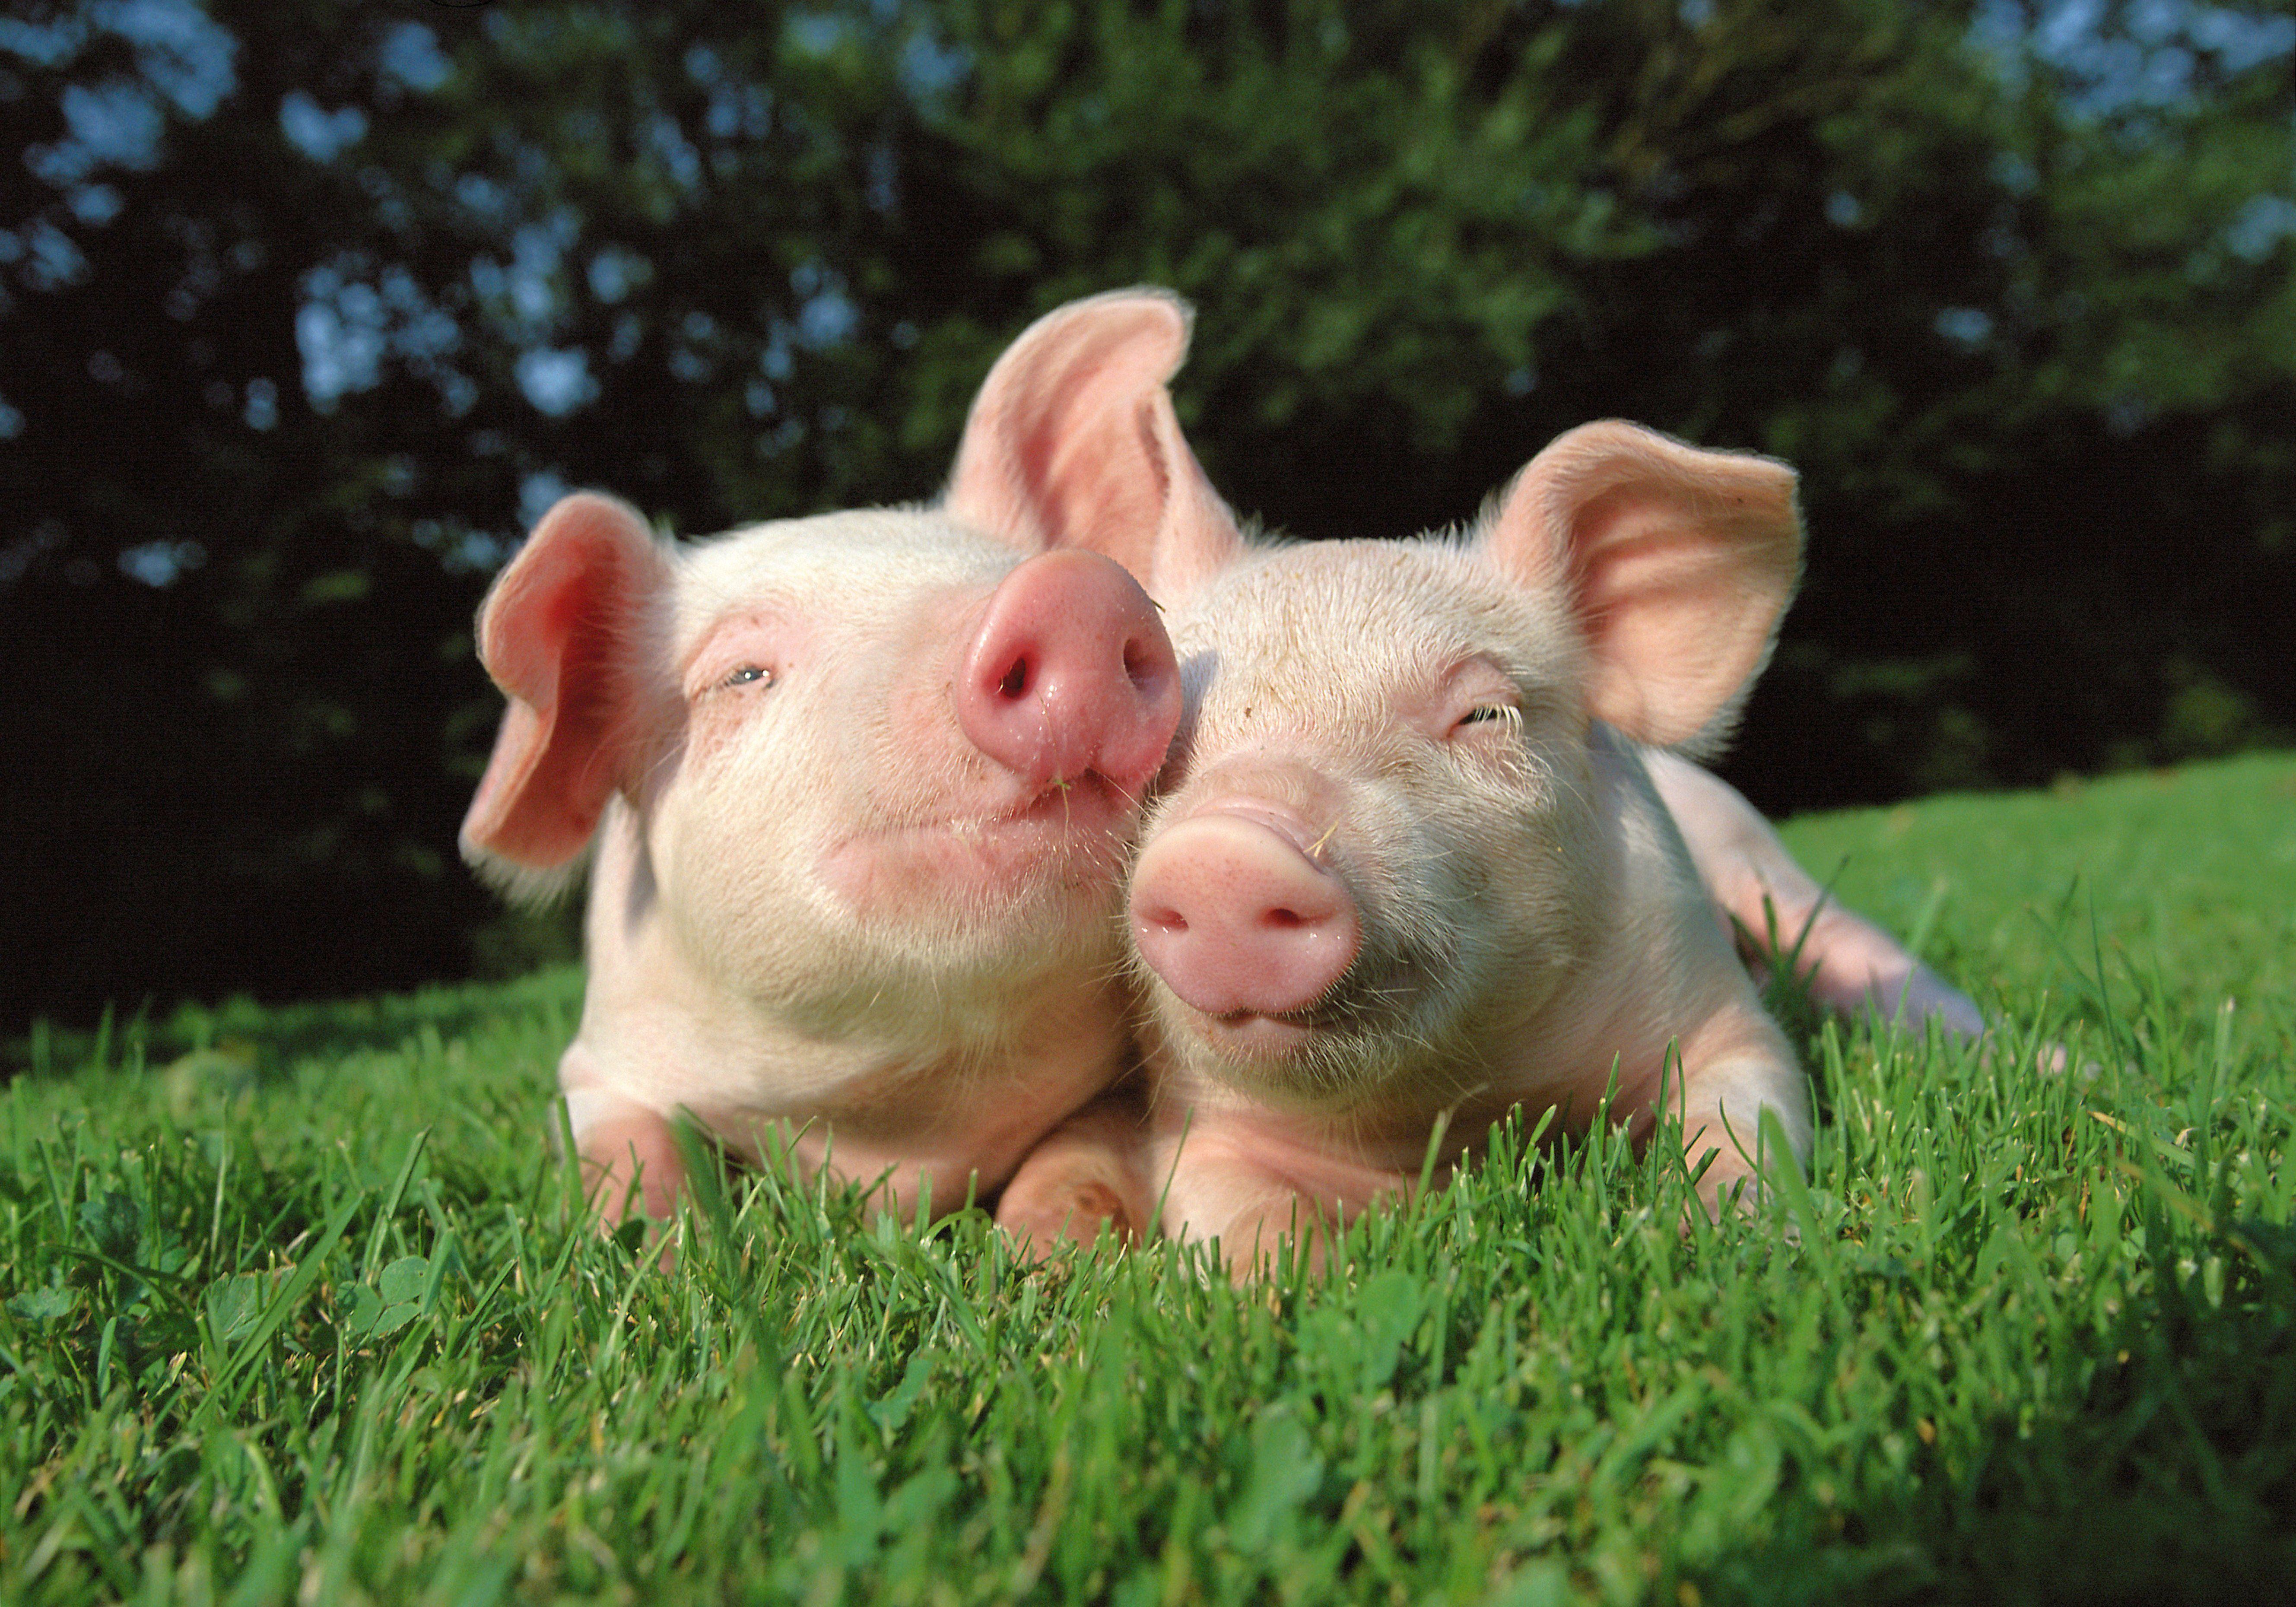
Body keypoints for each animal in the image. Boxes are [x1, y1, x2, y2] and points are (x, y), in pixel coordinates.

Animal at [459, 289, 1239, 1223]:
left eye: (1020, 568)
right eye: (742, 674)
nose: (1074, 592)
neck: (892, 1133)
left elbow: (1076, 1153)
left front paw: (1050, 1245)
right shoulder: (596, 1060)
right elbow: (623, 1146)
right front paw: (651, 1239)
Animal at [1003, 417, 1871, 1269]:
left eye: (1483, 715)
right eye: (1163, 744)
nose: (1225, 853)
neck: (1456, 1113)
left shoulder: (1715, 1006)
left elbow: (1747, 1118)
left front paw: (1721, 1240)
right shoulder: (1201, 1124)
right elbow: (1240, 1226)